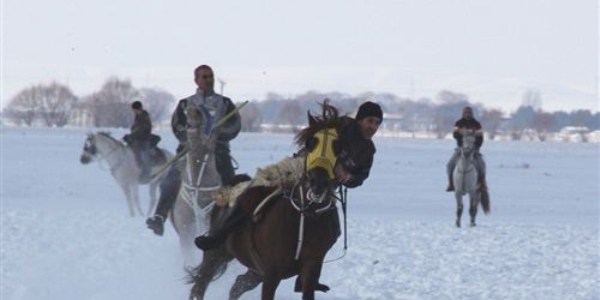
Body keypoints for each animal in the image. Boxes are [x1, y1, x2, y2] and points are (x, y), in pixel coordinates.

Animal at [186, 101, 346, 300]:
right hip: (216, 254)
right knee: (200, 286)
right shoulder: (272, 272)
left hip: (254, 271)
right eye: (311, 144)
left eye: (337, 146)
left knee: (238, 285)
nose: (318, 181)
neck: (306, 215)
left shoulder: (310, 268)